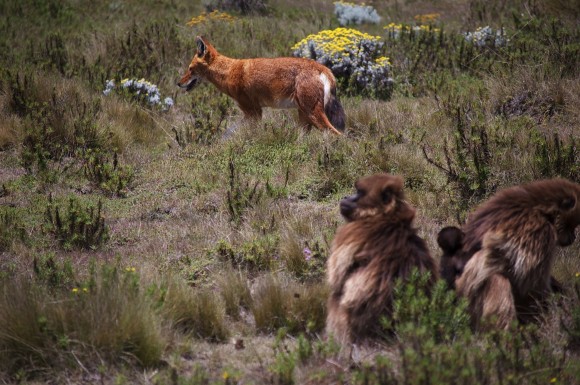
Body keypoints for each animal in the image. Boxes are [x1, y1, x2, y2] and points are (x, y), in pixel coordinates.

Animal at [177, 36, 344, 135]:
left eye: (190, 69)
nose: (178, 83)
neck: (229, 72)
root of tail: (324, 68)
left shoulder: (253, 112)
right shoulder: (251, 113)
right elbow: (228, 133)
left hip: (312, 115)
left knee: (337, 134)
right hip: (304, 117)